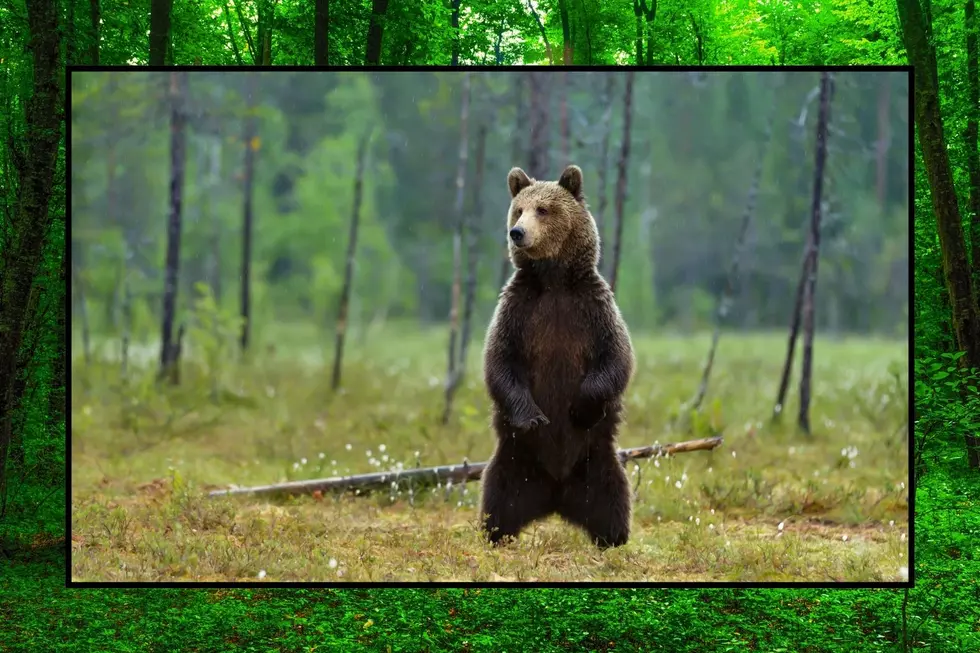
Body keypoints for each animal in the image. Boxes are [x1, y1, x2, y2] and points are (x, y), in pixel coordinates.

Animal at [479, 164, 636, 549]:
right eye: (519, 209)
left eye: (543, 209)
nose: (517, 232)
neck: (553, 281)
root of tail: (556, 493)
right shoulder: (519, 309)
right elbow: (500, 362)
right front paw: (535, 418)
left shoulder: (592, 308)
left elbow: (616, 358)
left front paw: (580, 407)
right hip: (514, 462)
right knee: (497, 497)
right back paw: (496, 533)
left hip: (597, 461)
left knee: (613, 496)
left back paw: (613, 536)